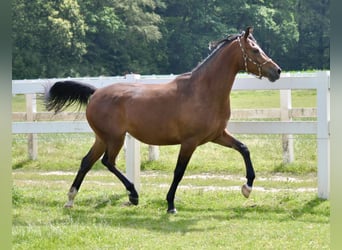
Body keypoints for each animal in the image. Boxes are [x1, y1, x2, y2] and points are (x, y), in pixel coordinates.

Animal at [44, 27, 280, 215]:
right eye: (255, 50)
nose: (276, 71)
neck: (202, 91)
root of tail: (95, 93)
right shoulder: (190, 142)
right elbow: (179, 172)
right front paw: (170, 205)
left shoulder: (217, 135)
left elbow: (244, 149)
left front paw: (247, 188)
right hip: (115, 138)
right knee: (107, 162)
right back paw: (133, 195)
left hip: (102, 138)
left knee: (87, 161)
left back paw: (70, 199)